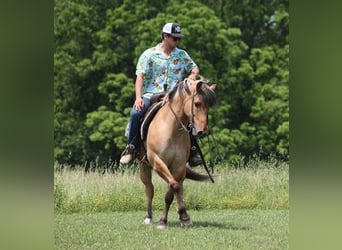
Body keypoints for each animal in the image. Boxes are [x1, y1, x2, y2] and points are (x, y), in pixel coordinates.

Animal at [138, 74, 215, 229]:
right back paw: (148, 217)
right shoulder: (158, 162)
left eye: (209, 106)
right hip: (144, 166)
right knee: (149, 189)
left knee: (179, 188)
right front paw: (168, 219)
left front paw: (181, 217)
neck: (171, 129)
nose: (203, 131)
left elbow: (172, 191)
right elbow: (173, 186)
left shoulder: (178, 166)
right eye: (197, 103)